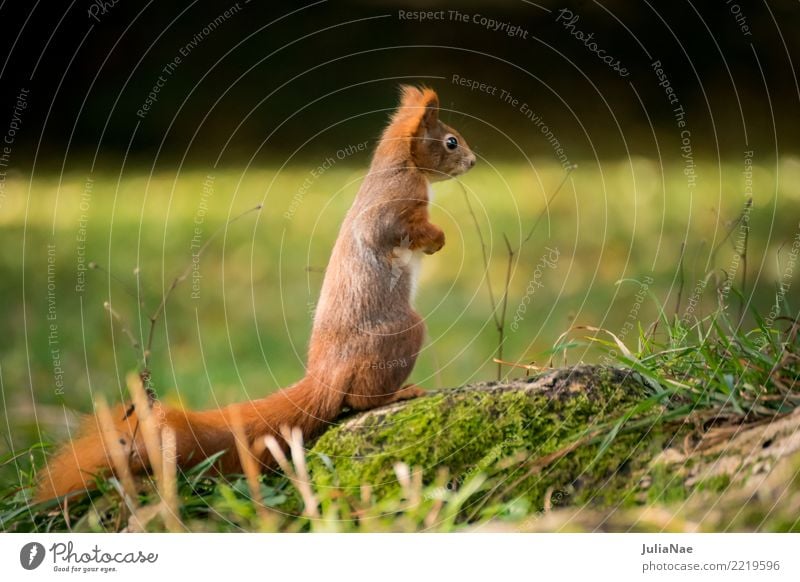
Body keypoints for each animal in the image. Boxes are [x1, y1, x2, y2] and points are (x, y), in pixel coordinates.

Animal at [37, 85, 476, 502]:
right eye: (451, 141)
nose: (473, 162)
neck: (400, 164)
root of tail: (324, 376)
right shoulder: (395, 203)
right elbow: (397, 230)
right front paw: (437, 239)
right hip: (401, 333)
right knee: (359, 400)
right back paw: (401, 391)